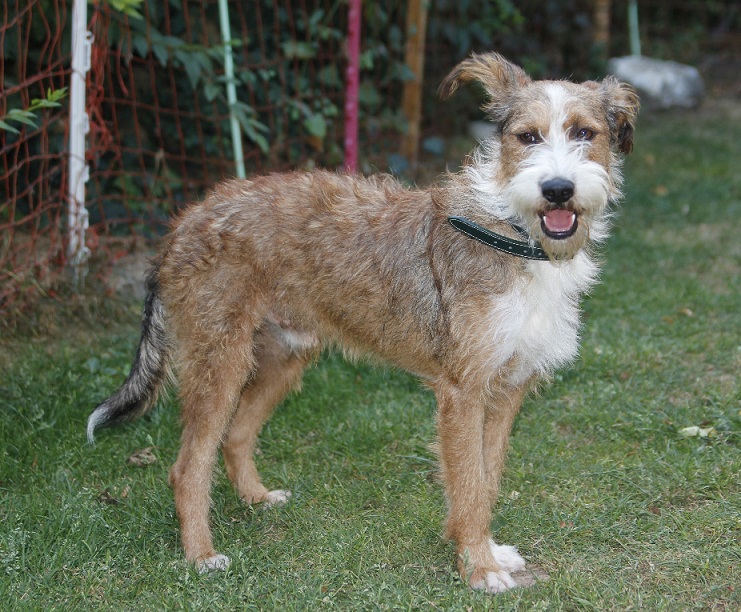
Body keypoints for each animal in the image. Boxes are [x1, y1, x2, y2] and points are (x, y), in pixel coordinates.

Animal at [87, 53, 638, 593]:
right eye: (527, 137)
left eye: (585, 132)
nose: (558, 189)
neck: (512, 232)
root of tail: (187, 220)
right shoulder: (463, 393)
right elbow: (468, 484)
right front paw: (478, 568)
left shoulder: (505, 392)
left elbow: (486, 481)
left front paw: (479, 550)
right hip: (219, 366)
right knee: (186, 468)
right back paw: (200, 556)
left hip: (283, 358)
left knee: (236, 436)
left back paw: (256, 498)